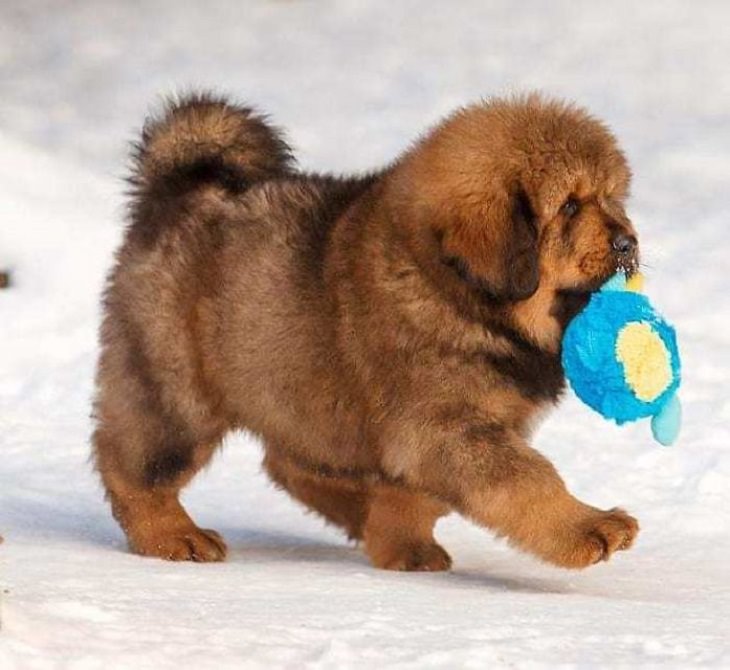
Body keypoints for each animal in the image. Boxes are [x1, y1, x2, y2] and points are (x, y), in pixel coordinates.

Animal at [94, 93, 640, 572]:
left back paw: (356, 512)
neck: (455, 293)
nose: (629, 242)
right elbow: (529, 481)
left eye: (611, 199)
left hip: (301, 395)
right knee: (134, 464)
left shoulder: (432, 436)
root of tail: (176, 192)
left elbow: (414, 497)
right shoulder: (447, 427)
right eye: (569, 207)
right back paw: (174, 536)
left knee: (291, 466)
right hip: (176, 391)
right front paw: (591, 528)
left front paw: (403, 546)